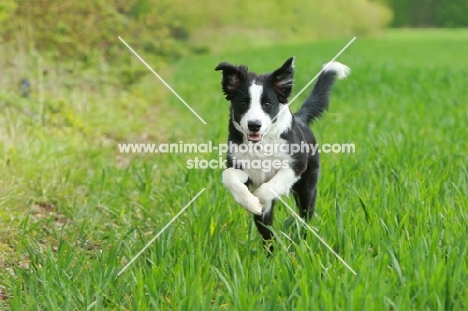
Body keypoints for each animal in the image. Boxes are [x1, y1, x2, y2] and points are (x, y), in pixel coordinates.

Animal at [214, 58, 350, 244]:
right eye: (243, 103)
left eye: (267, 103)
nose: (254, 125)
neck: (261, 144)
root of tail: (301, 119)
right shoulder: (240, 166)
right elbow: (228, 176)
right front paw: (250, 202)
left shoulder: (297, 164)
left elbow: (270, 186)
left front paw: (258, 197)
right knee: (267, 234)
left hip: (308, 189)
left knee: (304, 219)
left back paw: (299, 242)